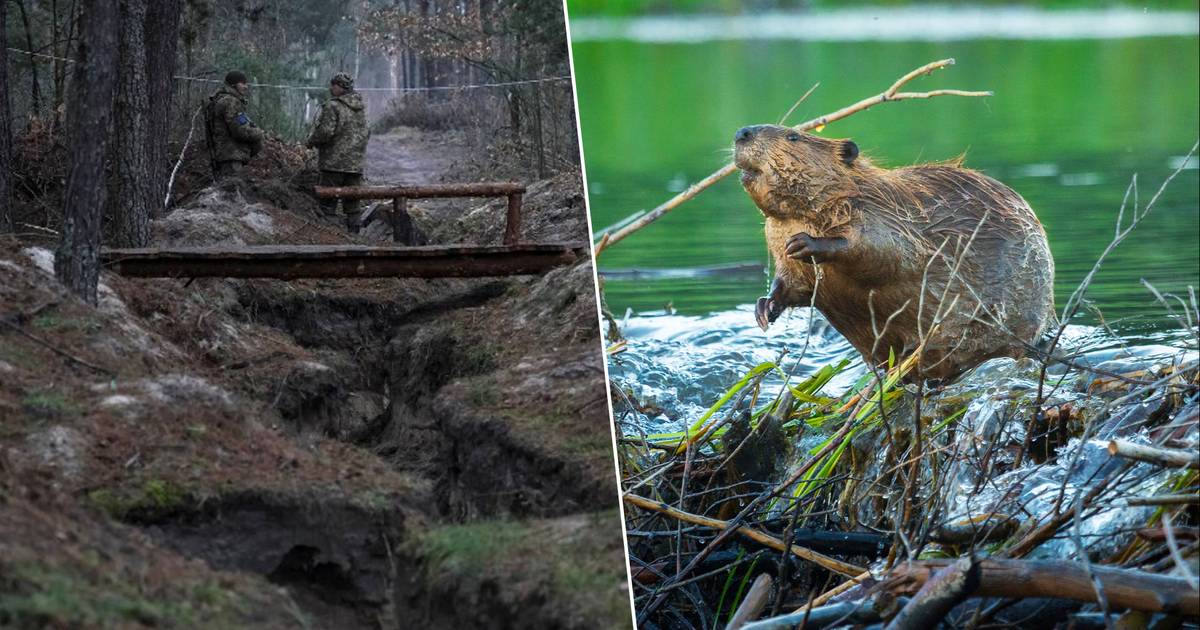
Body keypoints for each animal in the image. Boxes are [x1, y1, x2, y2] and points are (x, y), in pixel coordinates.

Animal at [734, 123, 1056, 379]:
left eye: (793, 137)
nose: (742, 132)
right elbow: (792, 283)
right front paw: (764, 308)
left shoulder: (883, 214)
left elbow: (887, 252)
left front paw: (805, 243)